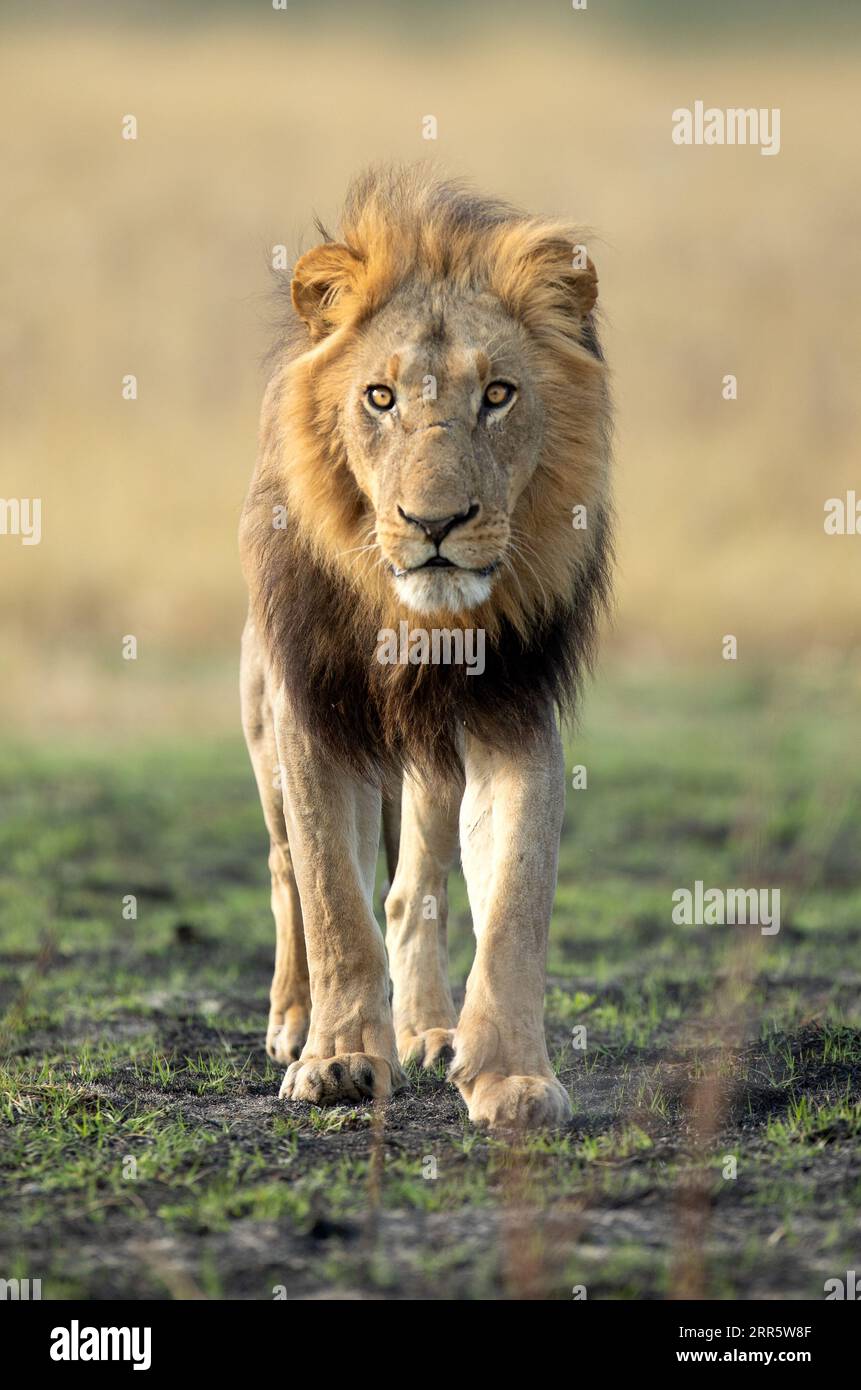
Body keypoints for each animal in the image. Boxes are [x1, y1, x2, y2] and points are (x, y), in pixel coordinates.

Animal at [239, 168, 609, 1134]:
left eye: (498, 394)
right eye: (380, 397)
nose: (434, 523)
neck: (417, 628)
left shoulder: (511, 717)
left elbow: (514, 903)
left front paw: (510, 1075)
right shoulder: (310, 710)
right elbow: (332, 898)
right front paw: (336, 1061)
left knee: (413, 893)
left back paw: (431, 1032)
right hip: (261, 729)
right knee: (285, 869)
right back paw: (292, 1023)